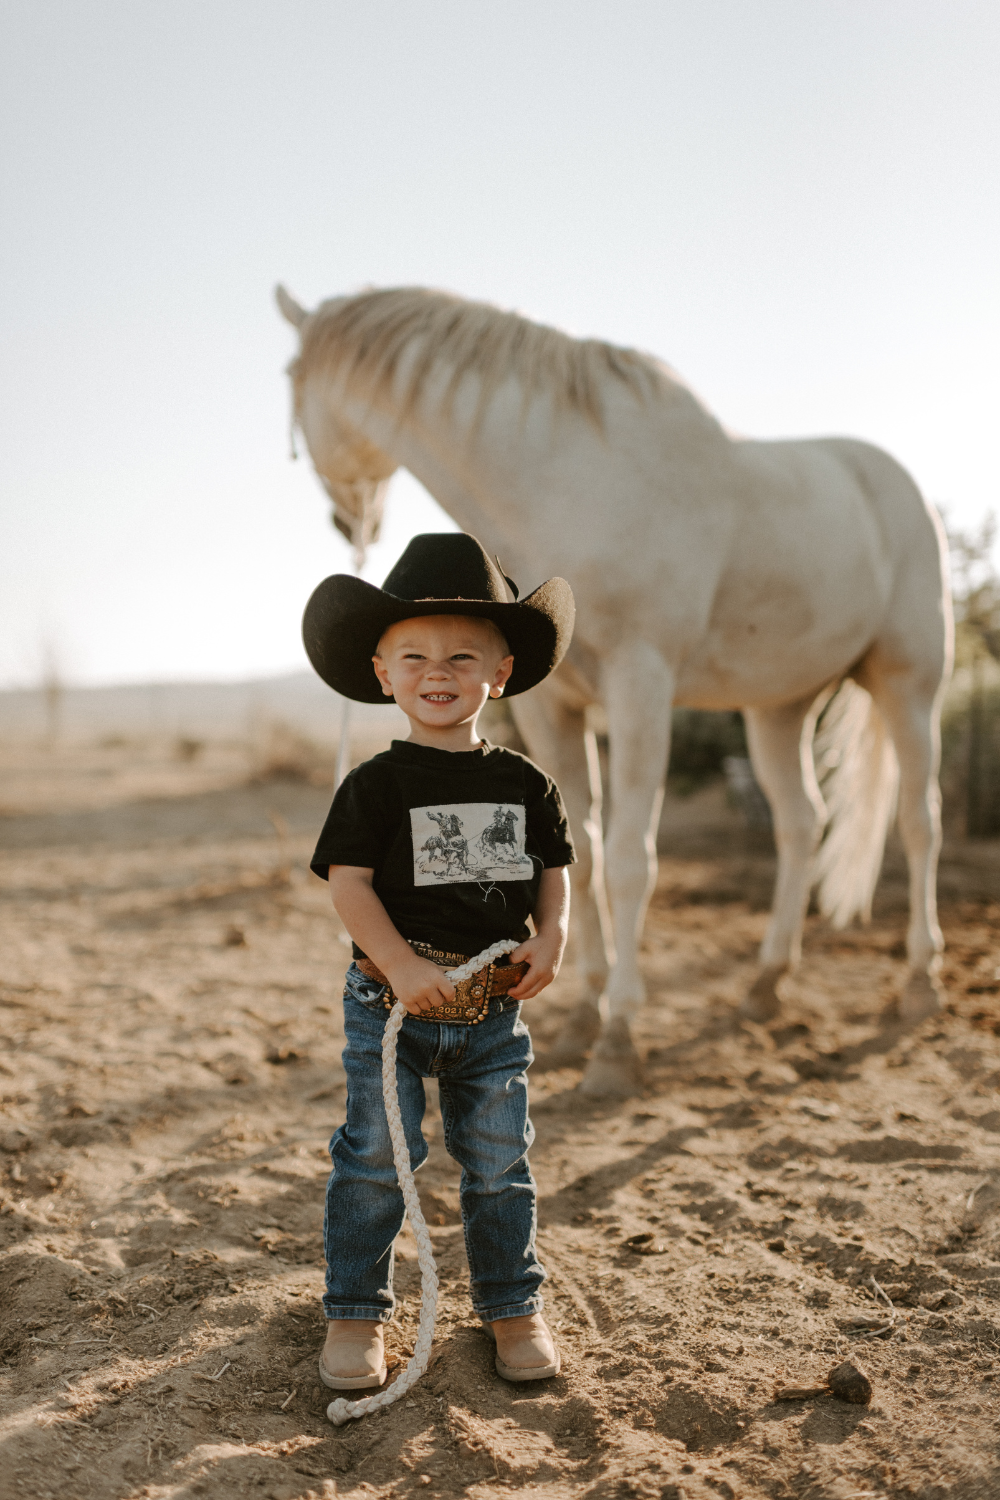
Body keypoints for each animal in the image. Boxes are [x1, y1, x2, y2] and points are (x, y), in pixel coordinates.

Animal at [275, 286, 953, 1098]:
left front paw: (619, 1041)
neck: (569, 479)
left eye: (289, 379)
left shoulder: (641, 687)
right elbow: (580, 856)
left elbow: (631, 861)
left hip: (909, 685)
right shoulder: (552, 707)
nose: (352, 520)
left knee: (919, 822)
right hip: (778, 708)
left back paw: (920, 983)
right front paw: (581, 1018)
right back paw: (766, 984)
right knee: (801, 824)